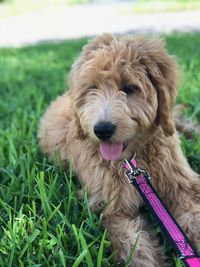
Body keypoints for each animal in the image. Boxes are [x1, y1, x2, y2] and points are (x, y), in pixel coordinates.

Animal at [38, 34, 200, 266]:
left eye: (129, 88)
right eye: (92, 88)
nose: (102, 130)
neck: (132, 159)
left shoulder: (182, 185)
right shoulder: (114, 208)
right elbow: (136, 248)